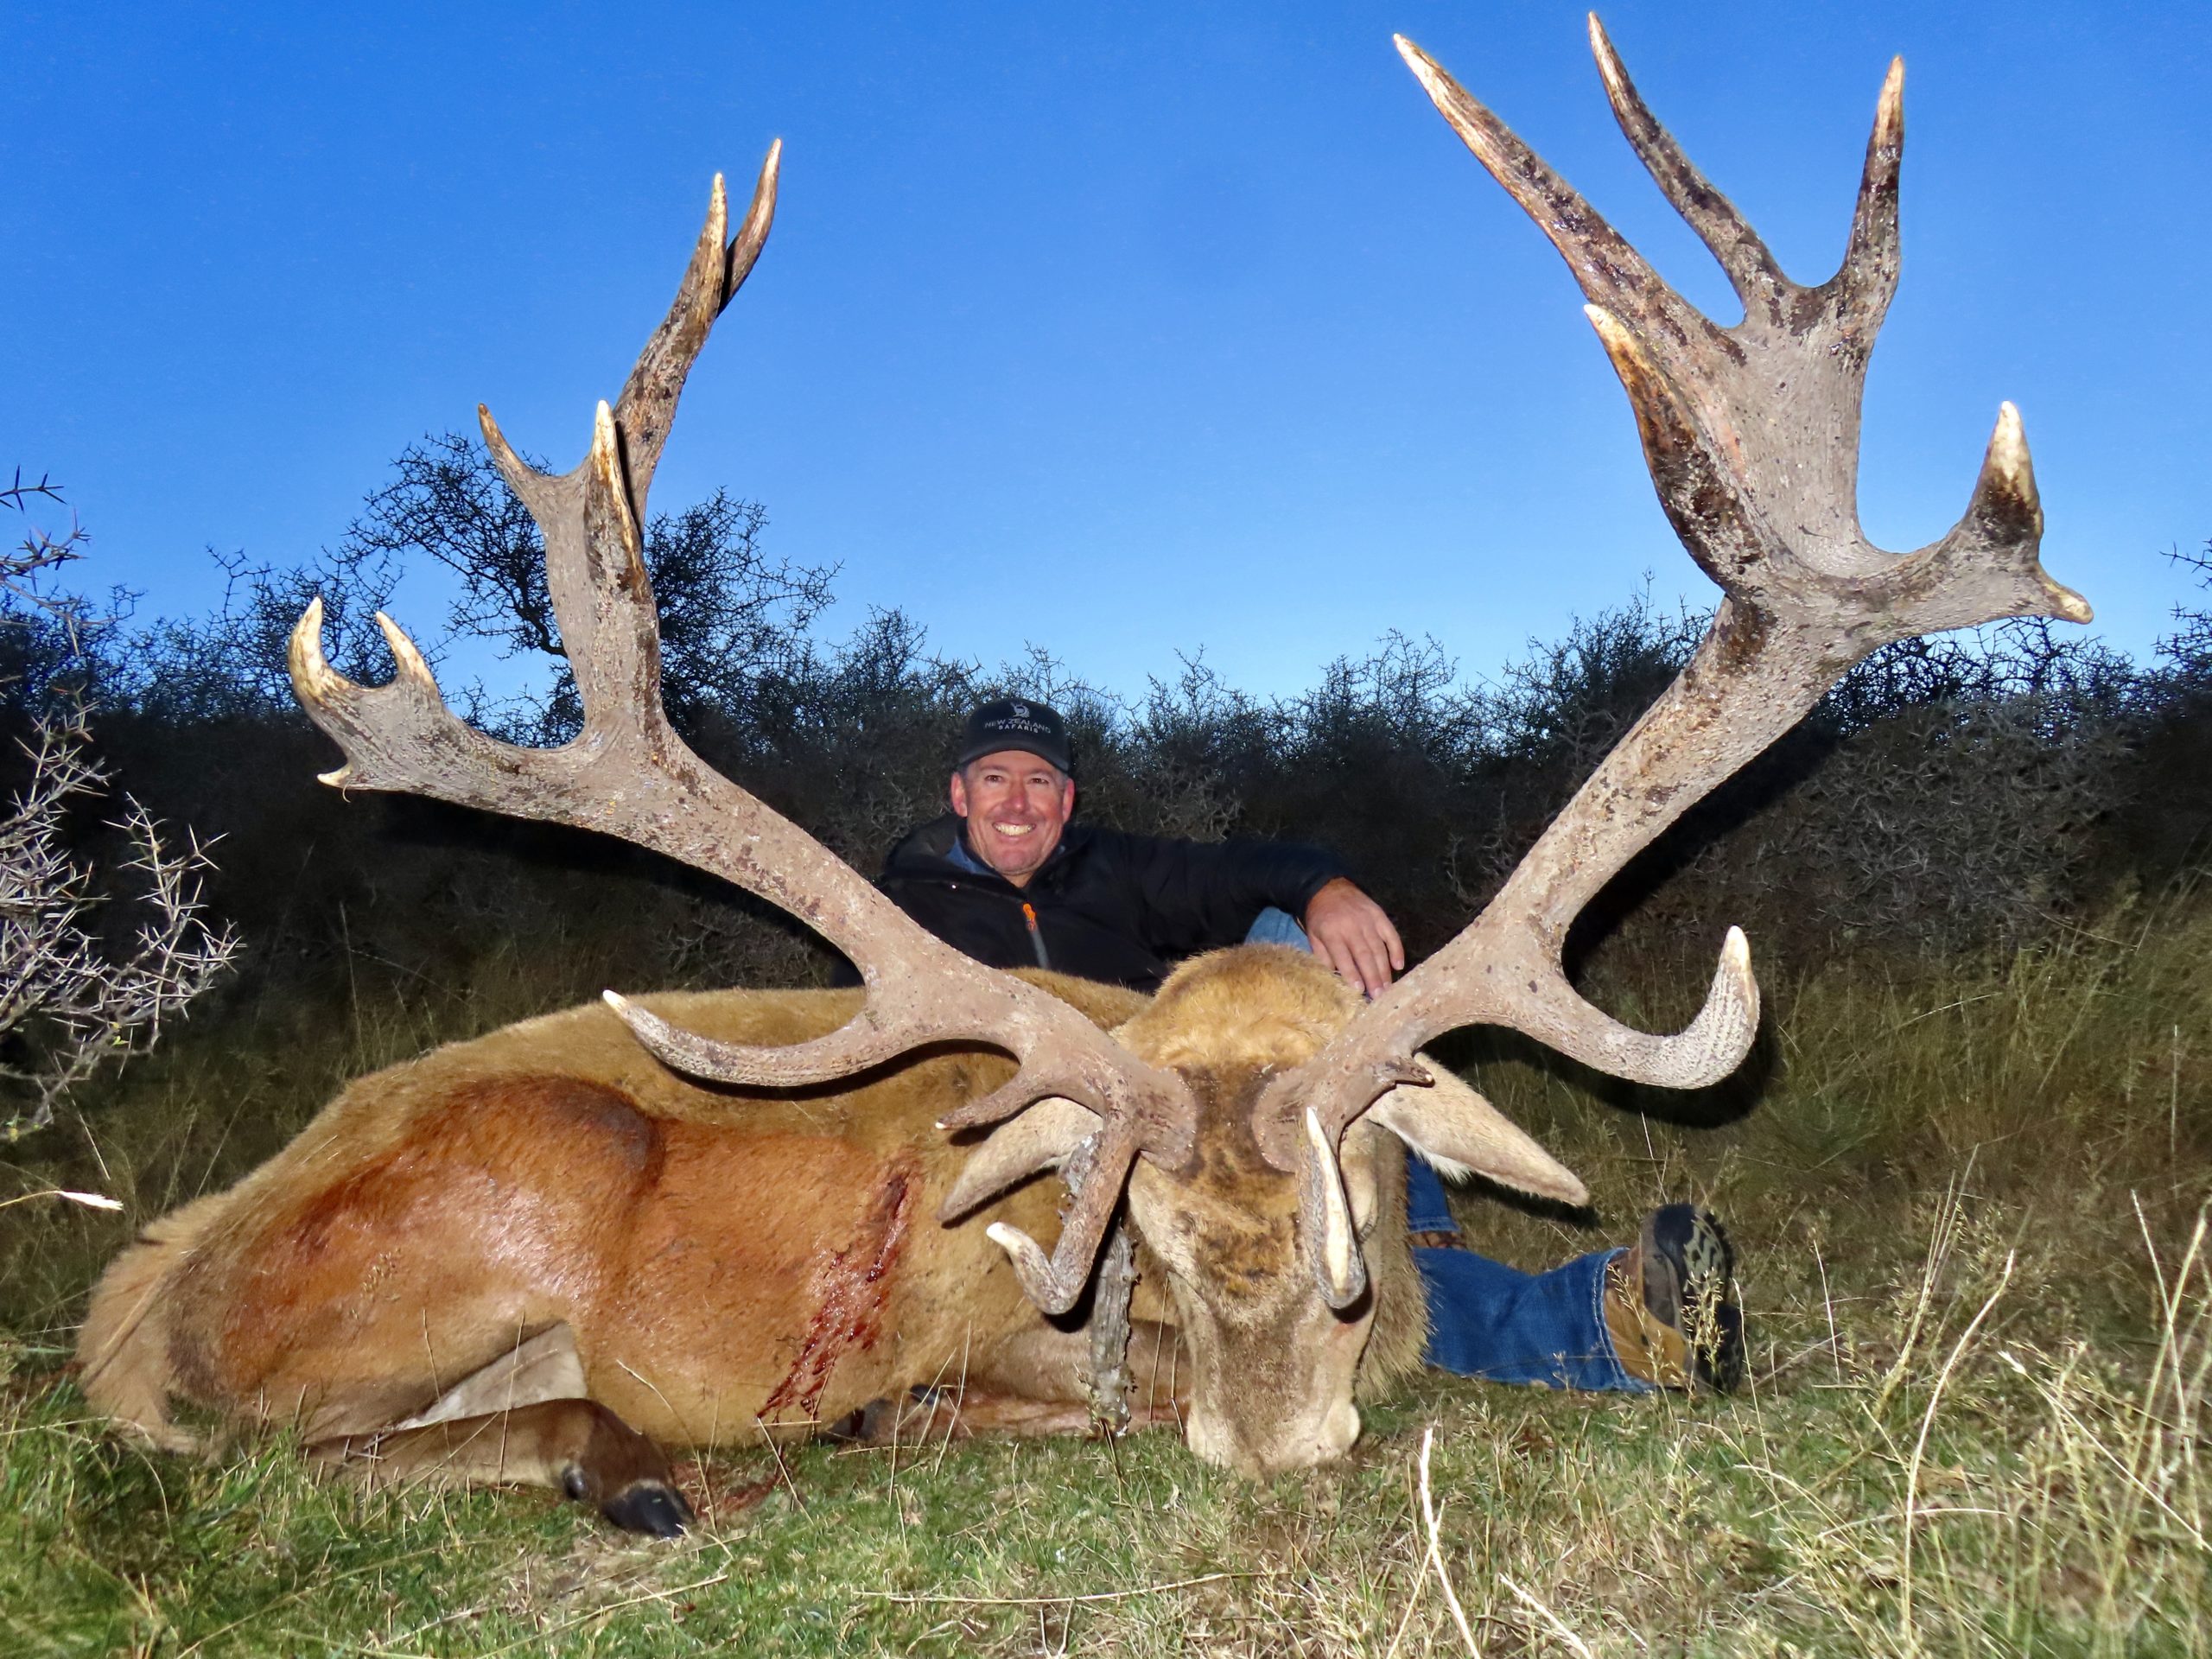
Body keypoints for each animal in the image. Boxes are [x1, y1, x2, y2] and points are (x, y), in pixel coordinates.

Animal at [78, 18, 2088, 1535]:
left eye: (1361, 1212)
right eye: (1151, 1255)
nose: (1271, 1440)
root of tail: (132, 1302)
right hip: (510, 1186)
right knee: (272, 1455)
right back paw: (631, 1466)